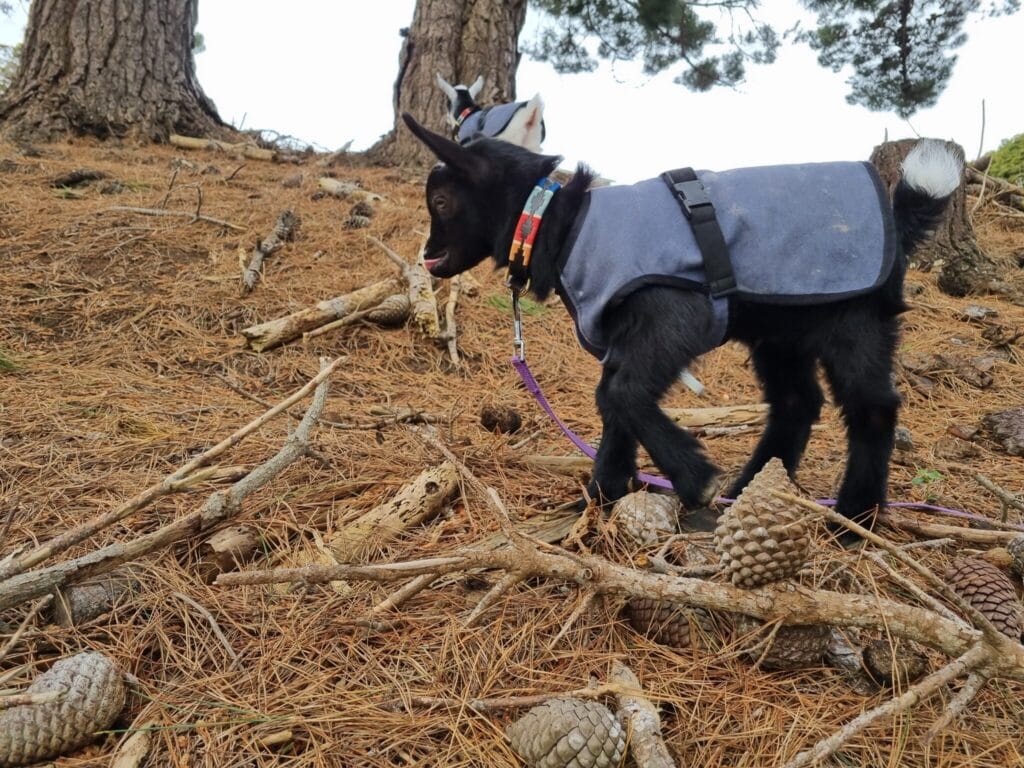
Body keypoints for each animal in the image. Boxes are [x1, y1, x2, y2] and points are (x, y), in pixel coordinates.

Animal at [402, 113, 961, 543]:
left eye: (442, 202)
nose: (427, 257)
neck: (562, 221)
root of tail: (898, 217)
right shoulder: (621, 337)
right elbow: (611, 401)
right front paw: (601, 496)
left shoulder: (671, 314)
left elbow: (624, 393)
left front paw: (693, 478)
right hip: (780, 333)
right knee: (797, 402)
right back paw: (747, 490)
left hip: (854, 320)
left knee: (872, 408)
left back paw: (853, 517)